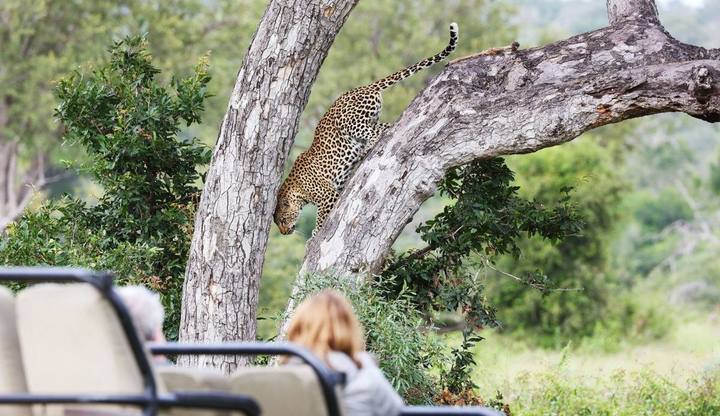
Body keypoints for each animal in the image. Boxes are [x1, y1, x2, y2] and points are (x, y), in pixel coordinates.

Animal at [274, 22, 459, 236]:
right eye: (278, 223)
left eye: (282, 219)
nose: (284, 232)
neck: (296, 189)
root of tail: (365, 87)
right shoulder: (336, 189)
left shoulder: (327, 195)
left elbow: (321, 217)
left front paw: (315, 233)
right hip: (369, 119)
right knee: (388, 126)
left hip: (350, 122)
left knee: (375, 134)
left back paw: (365, 149)